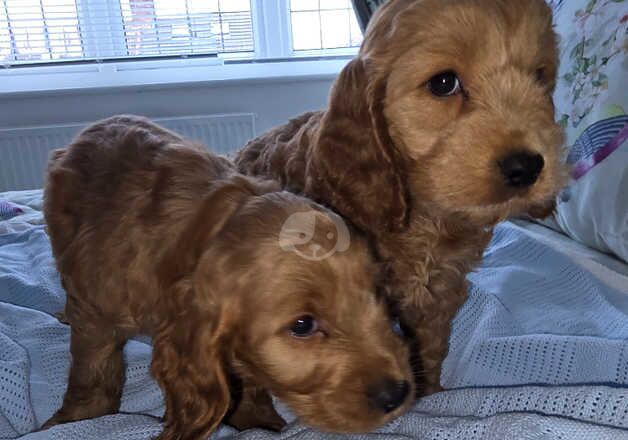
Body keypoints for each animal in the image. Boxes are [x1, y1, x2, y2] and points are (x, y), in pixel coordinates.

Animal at [41, 116, 414, 440]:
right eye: (303, 325)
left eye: (377, 295)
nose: (397, 395)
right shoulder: (96, 319)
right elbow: (92, 375)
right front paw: (76, 421)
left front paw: (255, 419)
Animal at [234, 0, 564, 396]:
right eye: (443, 83)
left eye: (539, 77)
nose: (526, 167)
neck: (425, 217)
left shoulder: (440, 292)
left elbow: (430, 346)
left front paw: (431, 393)